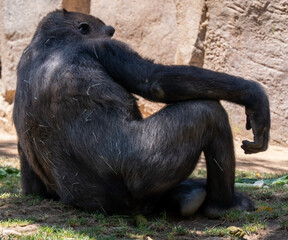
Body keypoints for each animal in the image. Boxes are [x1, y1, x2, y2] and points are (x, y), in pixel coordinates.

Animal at [12, 9, 270, 218]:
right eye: (109, 34)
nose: (112, 32)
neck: (51, 41)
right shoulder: (103, 47)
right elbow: (154, 80)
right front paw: (254, 97)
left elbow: (31, 186)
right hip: (142, 178)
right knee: (207, 113)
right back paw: (222, 206)